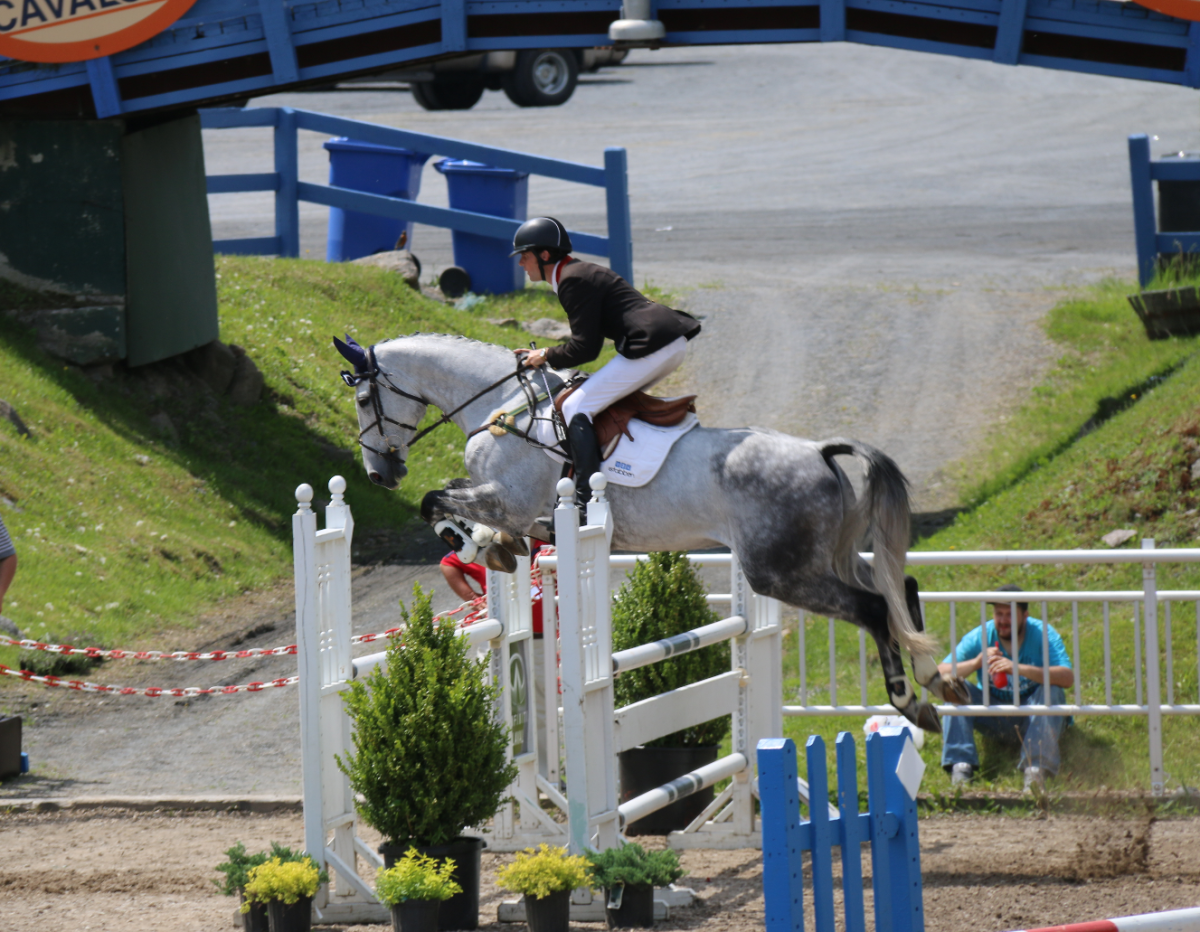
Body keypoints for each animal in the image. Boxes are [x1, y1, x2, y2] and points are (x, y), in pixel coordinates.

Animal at [333, 328, 969, 729]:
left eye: (364, 398)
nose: (379, 472)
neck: (506, 405)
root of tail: (819, 451)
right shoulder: (517, 507)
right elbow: (460, 504)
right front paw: (494, 549)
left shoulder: (507, 499)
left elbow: (435, 501)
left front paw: (477, 542)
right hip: (827, 555)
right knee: (900, 588)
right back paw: (940, 682)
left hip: (780, 570)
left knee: (873, 608)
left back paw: (912, 702)